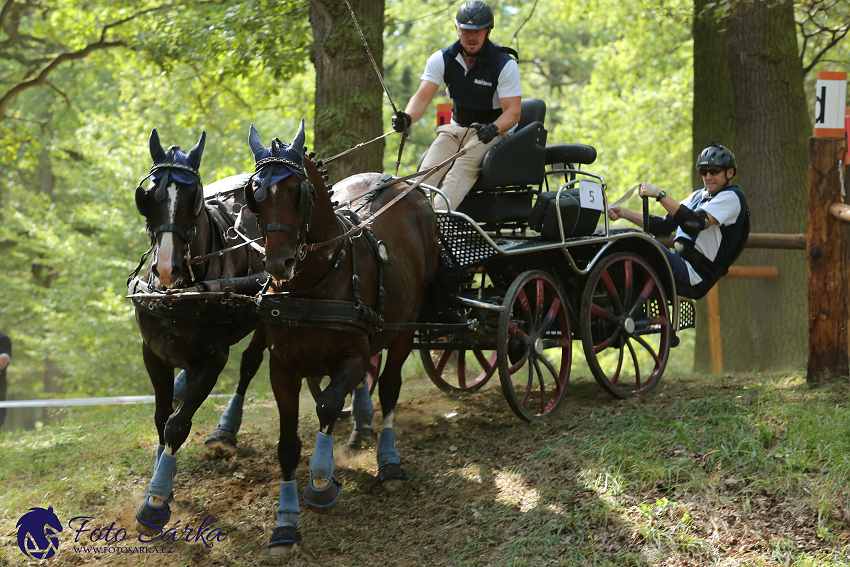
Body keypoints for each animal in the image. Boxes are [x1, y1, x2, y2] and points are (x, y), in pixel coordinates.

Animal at [129, 131, 266, 536]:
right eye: (150, 195)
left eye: (193, 198)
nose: (166, 267)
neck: (180, 294)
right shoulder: (153, 353)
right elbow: (161, 418)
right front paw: (162, 482)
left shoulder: (214, 360)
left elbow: (177, 425)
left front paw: (156, 501)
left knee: (250, 363)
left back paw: (225, 432)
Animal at [242, 121, 434, 556]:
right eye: (255, 193)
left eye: (297, 191)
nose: (278, 263)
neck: (312, 284)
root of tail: (398, 182)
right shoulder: (282, 368)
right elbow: (287, 444)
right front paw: (285, 523)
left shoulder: (354, 357)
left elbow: (329, 405)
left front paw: (321, 482)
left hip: (406, 326)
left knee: (390, 388)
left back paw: (389, 461)